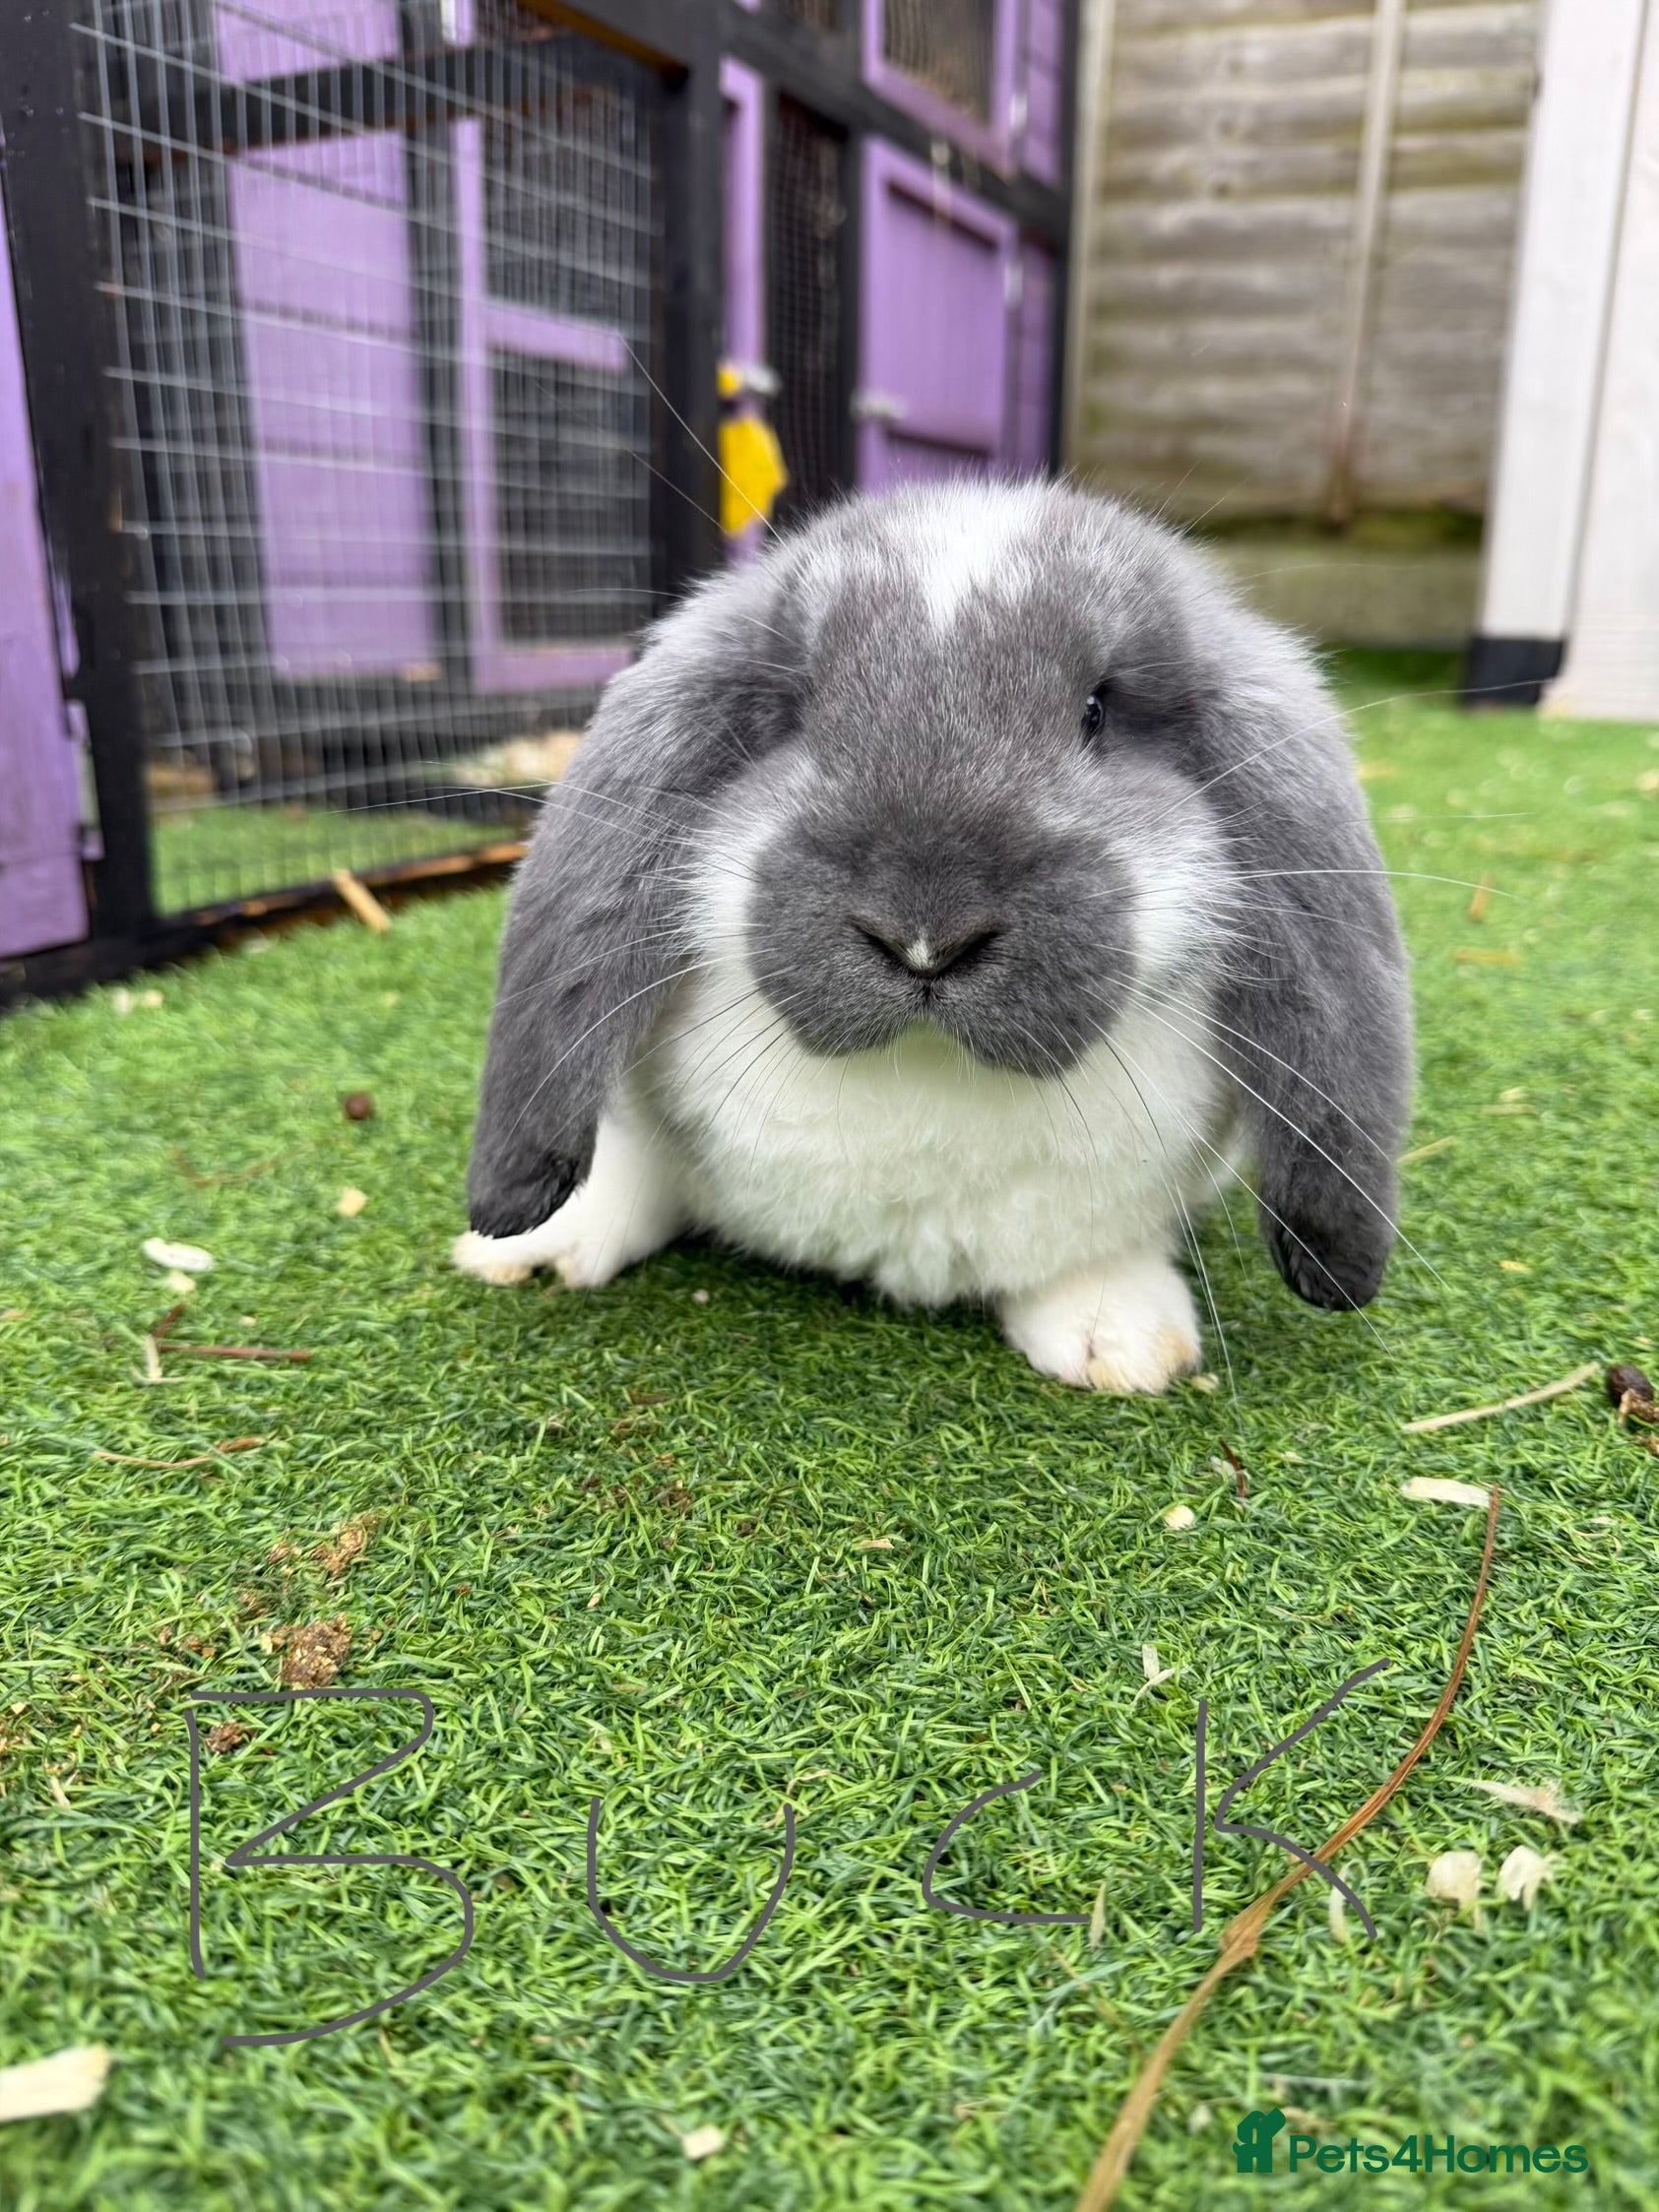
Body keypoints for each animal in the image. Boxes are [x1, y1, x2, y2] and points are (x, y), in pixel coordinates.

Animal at [451, 480, 1411, 1393]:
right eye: (796, 713)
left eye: (1095, 712)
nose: (923, 938)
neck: (923, 1073)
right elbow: (637, 1170)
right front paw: (531, 1247)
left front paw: (1124, 1342)